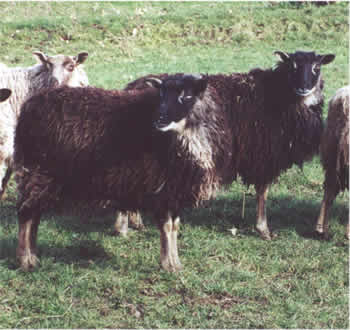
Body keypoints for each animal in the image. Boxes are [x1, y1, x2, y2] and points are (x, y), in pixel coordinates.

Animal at [127, 49, 334, 240]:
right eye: (293, 67)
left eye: (317, 67)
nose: (304, 88)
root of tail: (131, 85)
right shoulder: (263, 155)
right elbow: (263, 192)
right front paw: (263, 229)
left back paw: (134, 222)